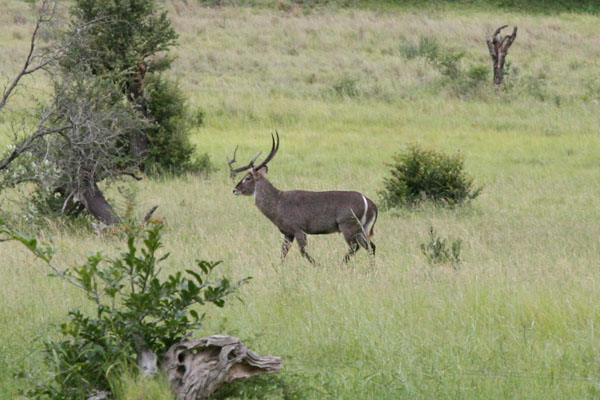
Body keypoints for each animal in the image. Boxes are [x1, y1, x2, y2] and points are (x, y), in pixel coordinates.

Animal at [231, 133, 380, 264]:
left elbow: (302, 251)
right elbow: (283, 253)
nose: (235, 190)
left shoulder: (298, 229)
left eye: (247, 178)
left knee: (356, 247)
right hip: (361, 229)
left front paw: (317, 265)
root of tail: (370, 203)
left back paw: (341, 265)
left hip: (348, 227)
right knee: (371, 246)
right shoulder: (288, 233)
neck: (278, 202)